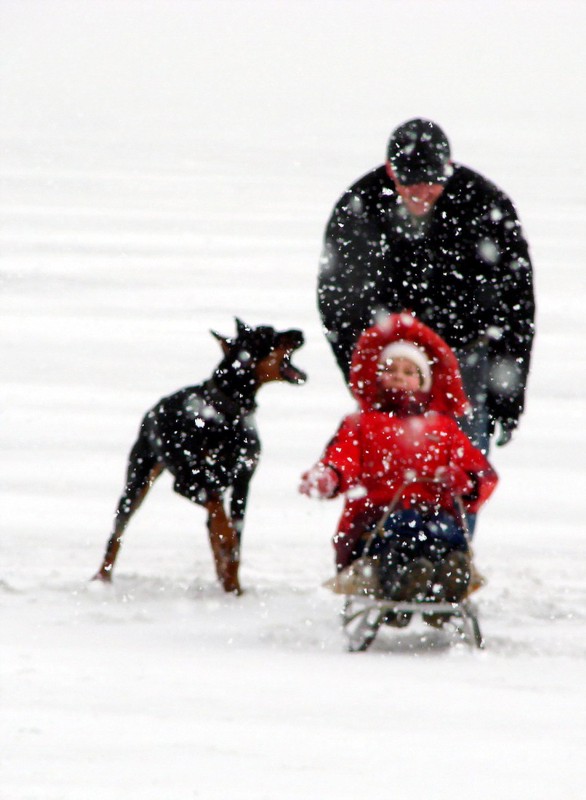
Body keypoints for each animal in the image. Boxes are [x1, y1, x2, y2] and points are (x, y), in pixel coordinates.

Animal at [93, 320, 304, 592]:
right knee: (117, 531)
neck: (227, 414)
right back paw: (101, 577)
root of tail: (153, 409)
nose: (300, 333)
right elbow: (221, 517)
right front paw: (227, 549)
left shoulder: (242, 483)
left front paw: (234, 587)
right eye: (266, 335)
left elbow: (233, 537)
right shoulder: (186, 482)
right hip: (137, 481)